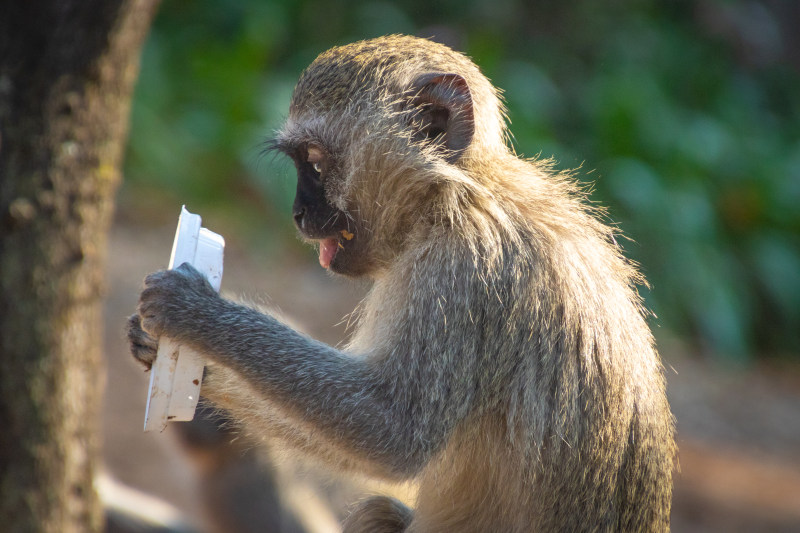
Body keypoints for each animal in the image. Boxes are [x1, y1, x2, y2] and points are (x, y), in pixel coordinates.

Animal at [125, 35, 676, 528]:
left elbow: (391, 432)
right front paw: (177, 361)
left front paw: (196, 314)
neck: (455, 195)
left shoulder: (461, 271)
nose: (298, 214)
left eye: (315, 162)